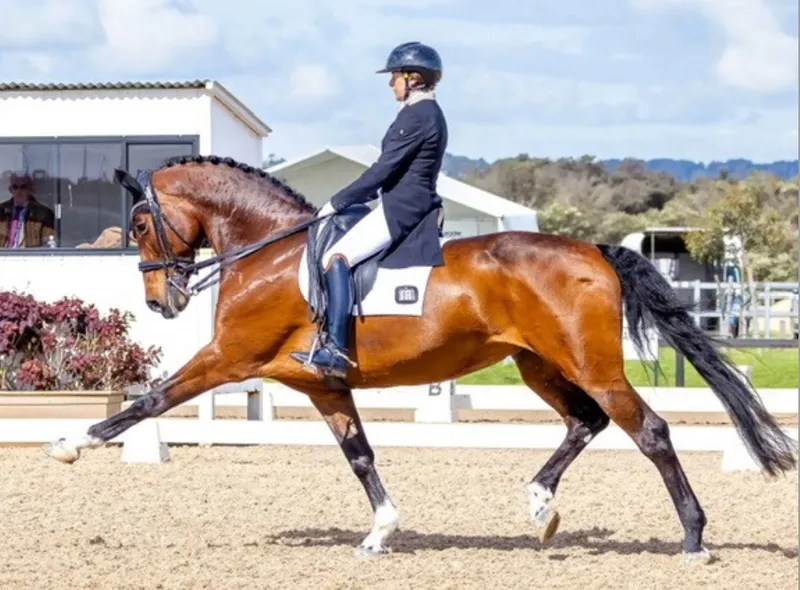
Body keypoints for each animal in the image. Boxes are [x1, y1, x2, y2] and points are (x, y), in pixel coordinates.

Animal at [43, 154, 796, 563]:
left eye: (141, 222)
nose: (160, 301)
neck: (268, 252)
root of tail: (594, 250)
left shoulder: (227, 357)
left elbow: (149, 399)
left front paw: (71, 442)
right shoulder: (321, 385)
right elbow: (360, 455)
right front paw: (380, 533)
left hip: (591, 365)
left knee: (650, 431)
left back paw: (694, 539)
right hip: (538, 365)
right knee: (587, 422)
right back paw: (541, 504)